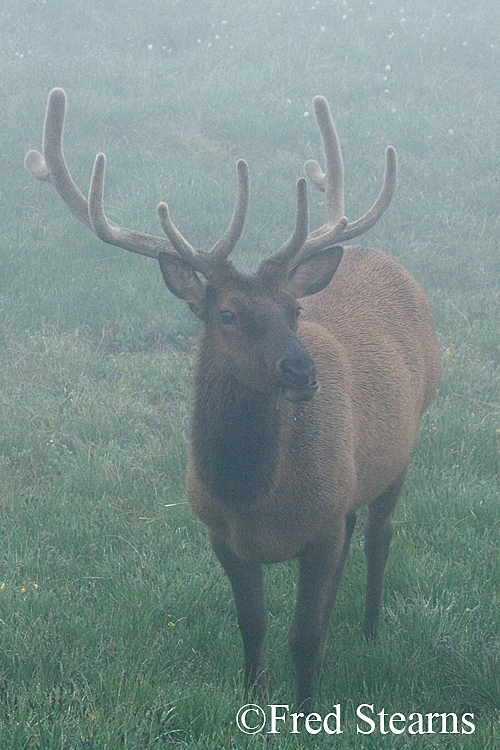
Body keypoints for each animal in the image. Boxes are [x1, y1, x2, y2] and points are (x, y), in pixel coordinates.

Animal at [25, 88, 440, 712]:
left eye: (294, 309)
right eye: (226, 314)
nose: (302, 370)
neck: (253, 497)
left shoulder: (319, 526)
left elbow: (302, 634)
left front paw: (306, 709)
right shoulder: (221, 534)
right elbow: (255, 625)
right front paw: (253, 698)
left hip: (403, 445)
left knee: (378, 535)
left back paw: (369, 632)